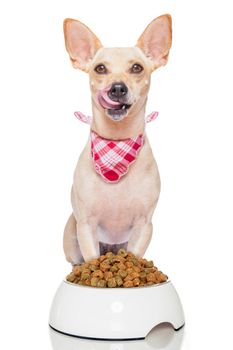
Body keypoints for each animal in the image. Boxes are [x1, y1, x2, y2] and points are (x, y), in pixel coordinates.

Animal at [62, 14, 172, 266]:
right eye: (100, 68)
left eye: (136, 67)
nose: (118, 88)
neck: (116, 143)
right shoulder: (86, 225)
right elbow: (90, 256)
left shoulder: (144, 225)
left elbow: (135, 254)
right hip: (72, 233)